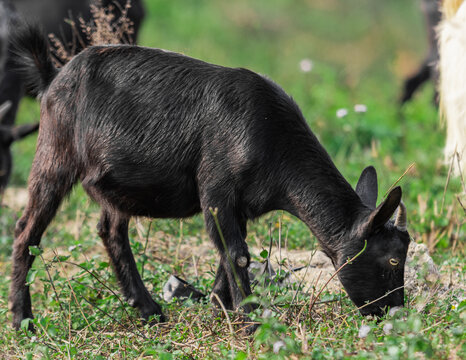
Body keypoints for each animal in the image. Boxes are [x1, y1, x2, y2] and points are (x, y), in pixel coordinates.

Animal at [9, 23, 410, 330]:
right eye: (393, 260)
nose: (393, 313)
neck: (271, 136)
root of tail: (53, 78)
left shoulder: (240, 205)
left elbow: (228, 253)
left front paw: (220, 307)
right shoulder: (216, 188)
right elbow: (237, 254)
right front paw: (251, 320)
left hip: (111, 185)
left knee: (110, 231)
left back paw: (149, 311)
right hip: (54, 154)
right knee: (27, 231)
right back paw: (22, 320)